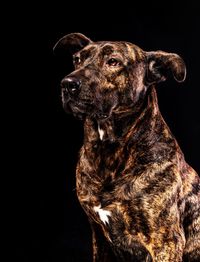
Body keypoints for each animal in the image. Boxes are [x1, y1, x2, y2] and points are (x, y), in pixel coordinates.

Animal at [53, 33, 200, 262]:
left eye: (113, 62)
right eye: (77, 59)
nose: (67, 84)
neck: (108, 153)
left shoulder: (166, 241)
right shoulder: (99, 236)